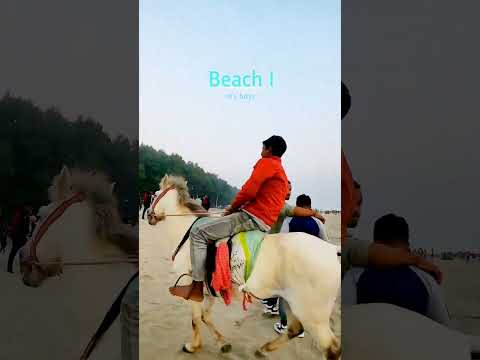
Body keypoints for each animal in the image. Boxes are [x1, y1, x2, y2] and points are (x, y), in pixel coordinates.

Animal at [150, 176, 342, 358]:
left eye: (154, 195)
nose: (150, 216)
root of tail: (333, 250)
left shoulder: (193, 286)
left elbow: (196, 319)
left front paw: (192, 346)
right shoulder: (208, 289)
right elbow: (205, 317)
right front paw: (223, 344)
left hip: (313, 316)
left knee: (331, 349)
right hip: (291, 302)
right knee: (295, 329)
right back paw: (263, 350)